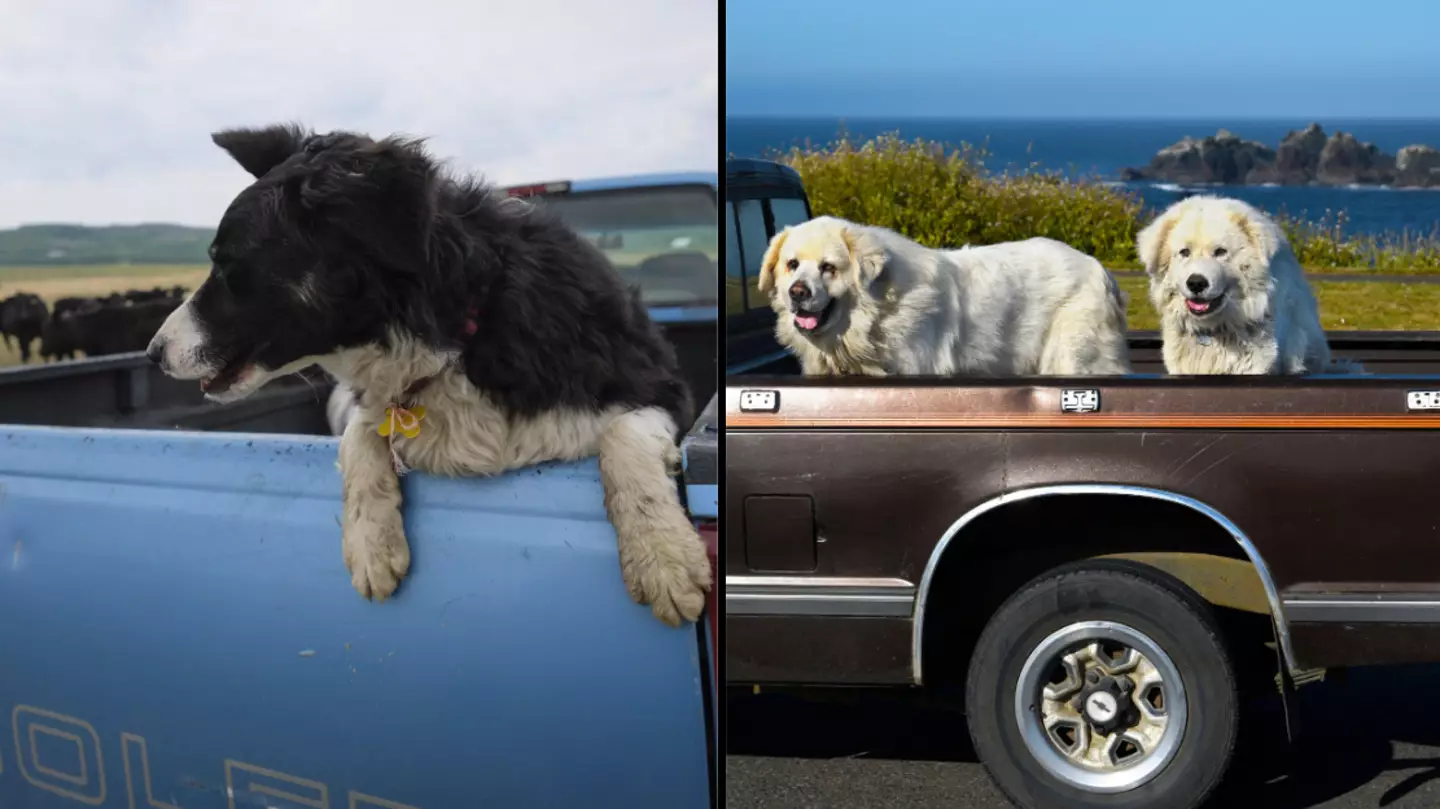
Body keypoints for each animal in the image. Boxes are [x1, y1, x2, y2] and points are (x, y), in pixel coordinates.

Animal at [146, 125, 708, 624]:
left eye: (227, 263)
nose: (153, 353)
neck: (455, 331)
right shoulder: (370, 406)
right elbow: (360, 435)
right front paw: (370, 542)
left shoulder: (663, 386)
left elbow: (623, 438)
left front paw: (663, 555)